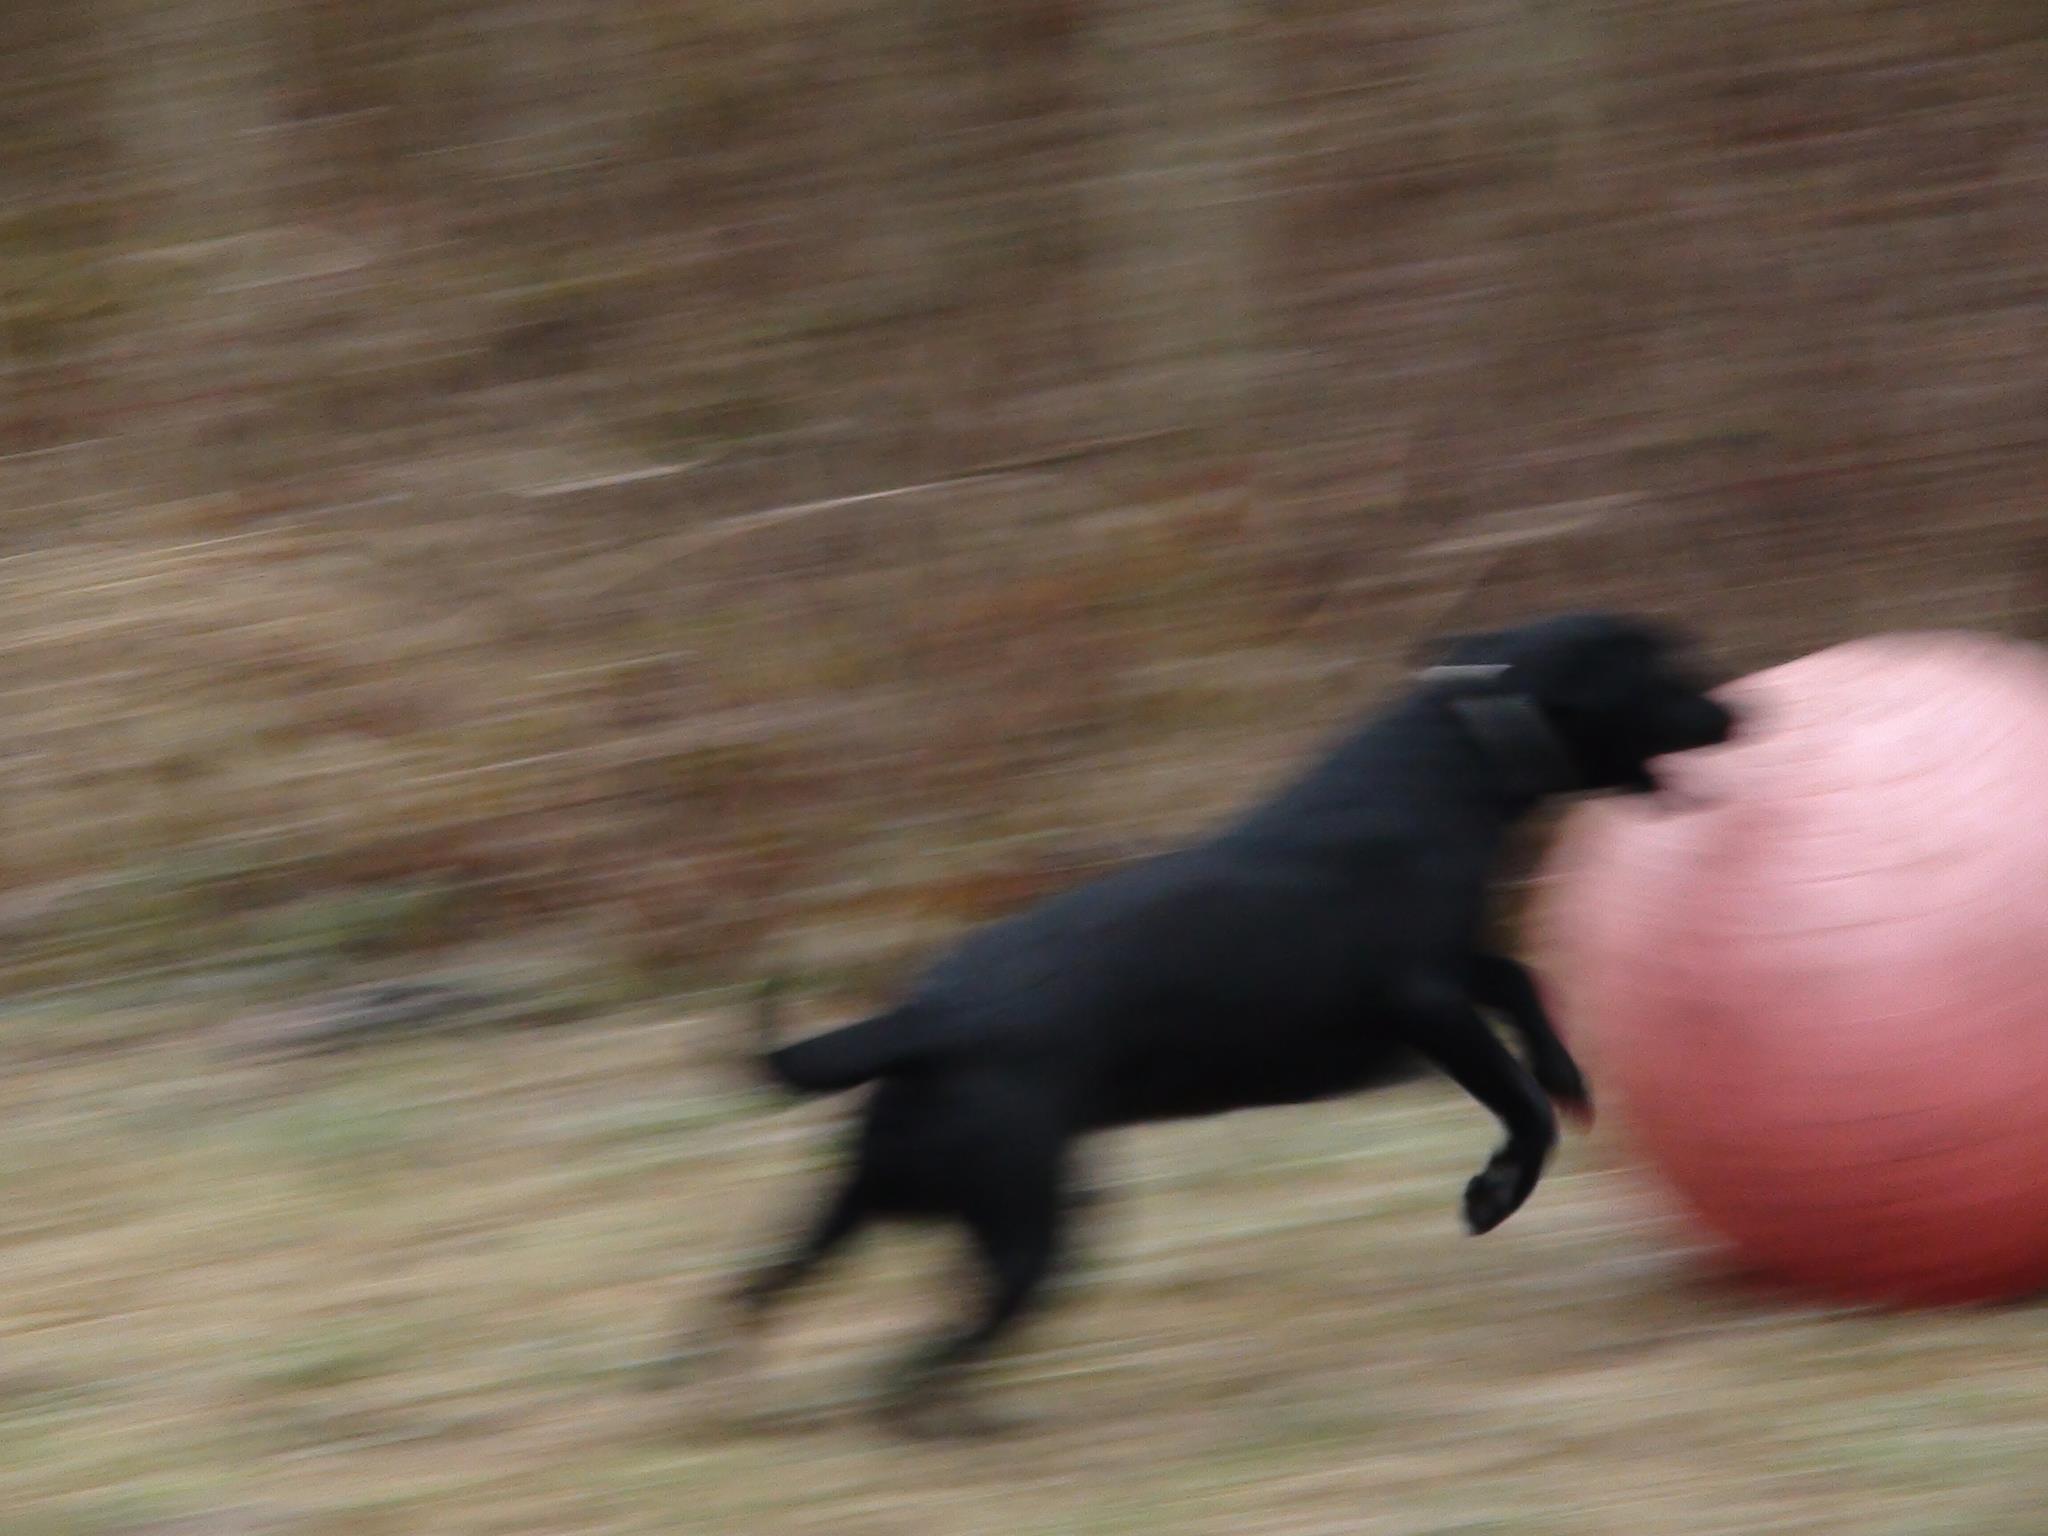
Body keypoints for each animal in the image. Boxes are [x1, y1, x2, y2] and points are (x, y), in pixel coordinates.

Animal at [673, 612, 1735, 1431]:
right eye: (1661, 661)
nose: (1742, 711)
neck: (1451, 759)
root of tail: (928, 1020)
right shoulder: (1422, 1004)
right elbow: (1524, 1109)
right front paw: (1494, 1191)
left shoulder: (1452, 968)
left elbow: (1520, 983)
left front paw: (1569, 1071)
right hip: (1029, 1221)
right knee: (914, 1364)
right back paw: (946, 1424)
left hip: (860, 1203)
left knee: (760, 1295)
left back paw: (720, 1394)